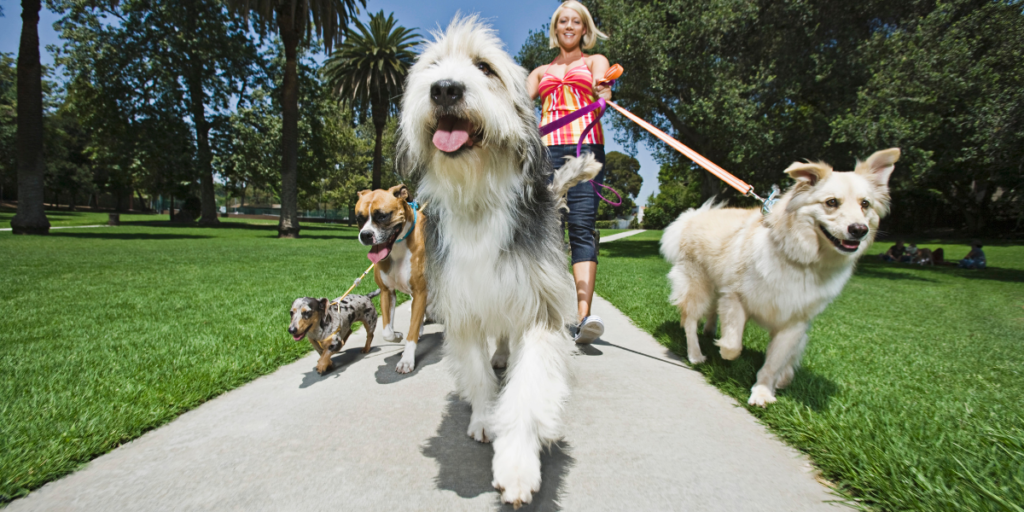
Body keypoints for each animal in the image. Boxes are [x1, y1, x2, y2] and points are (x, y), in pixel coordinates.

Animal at [356, 184, 428, 372]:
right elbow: (386, 331)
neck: (398, 247)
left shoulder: (420, 292)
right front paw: (396, 336)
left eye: (382, 216)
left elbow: (412, 332)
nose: (365, 235)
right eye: (359, 218)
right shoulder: (386, 292)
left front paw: (407, 360)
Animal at [393, 14, 598, 505]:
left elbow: (528, 389)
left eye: (484, 67)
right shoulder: (462, 305)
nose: (445, 89)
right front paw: (486, 418)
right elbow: (477, 371)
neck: (478, 198)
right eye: (433, 67)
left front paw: (518, 463)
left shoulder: (541, 307)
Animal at [663, 148, 897, 407]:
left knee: (710, 313)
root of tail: (693, 217)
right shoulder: (735, 298)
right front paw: (724, 352)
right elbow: (734, 344)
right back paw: (696, 353)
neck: (802, 261)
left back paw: (710, 332)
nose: (859, 230)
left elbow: (776, 361)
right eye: (831, 202)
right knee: (690, 320)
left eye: (865, 204)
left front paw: (765, 390)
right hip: (698, 286)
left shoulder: (795, 322)